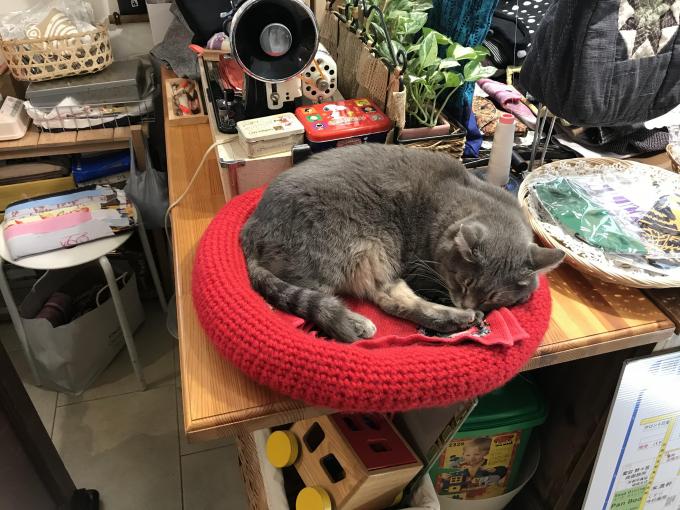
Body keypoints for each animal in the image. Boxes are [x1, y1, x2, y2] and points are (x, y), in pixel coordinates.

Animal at [240, 144, 564, 342]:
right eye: (464, 283)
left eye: (495, 296)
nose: (467, 302)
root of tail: (251, 228)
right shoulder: (419, 266)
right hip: (361, 247)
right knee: (365, 300)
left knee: (392, 299)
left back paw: (457, 318)